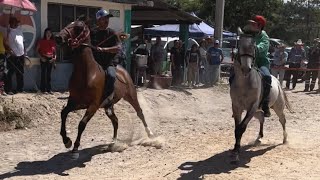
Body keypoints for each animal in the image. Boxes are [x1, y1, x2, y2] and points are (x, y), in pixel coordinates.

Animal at [54, 20, 154, 158]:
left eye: (78, 27)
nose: (58, 37)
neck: (87, 73)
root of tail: (122, 70)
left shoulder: (93, 105)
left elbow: (82, 124)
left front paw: (75, 148)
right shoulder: (75, 102)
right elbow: (63, 113)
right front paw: (66, 141)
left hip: (131, 96)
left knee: (139, 113)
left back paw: (149, 133)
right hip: (108, 107)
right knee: (115, 120)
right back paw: (113, 142)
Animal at [230, 27, 292, 162]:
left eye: (253, 47)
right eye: (239, 45)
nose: (246, 68)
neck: (244, 83)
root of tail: (277, 82)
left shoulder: (252, 107)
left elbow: (241, 128)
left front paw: (236, 153)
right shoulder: (237, 107)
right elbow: (237, 128)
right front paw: (235, 150)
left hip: (277, 107)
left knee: (283, 120)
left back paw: (285, 139)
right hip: (258, 111)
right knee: (262, 118)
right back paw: (258, 138)